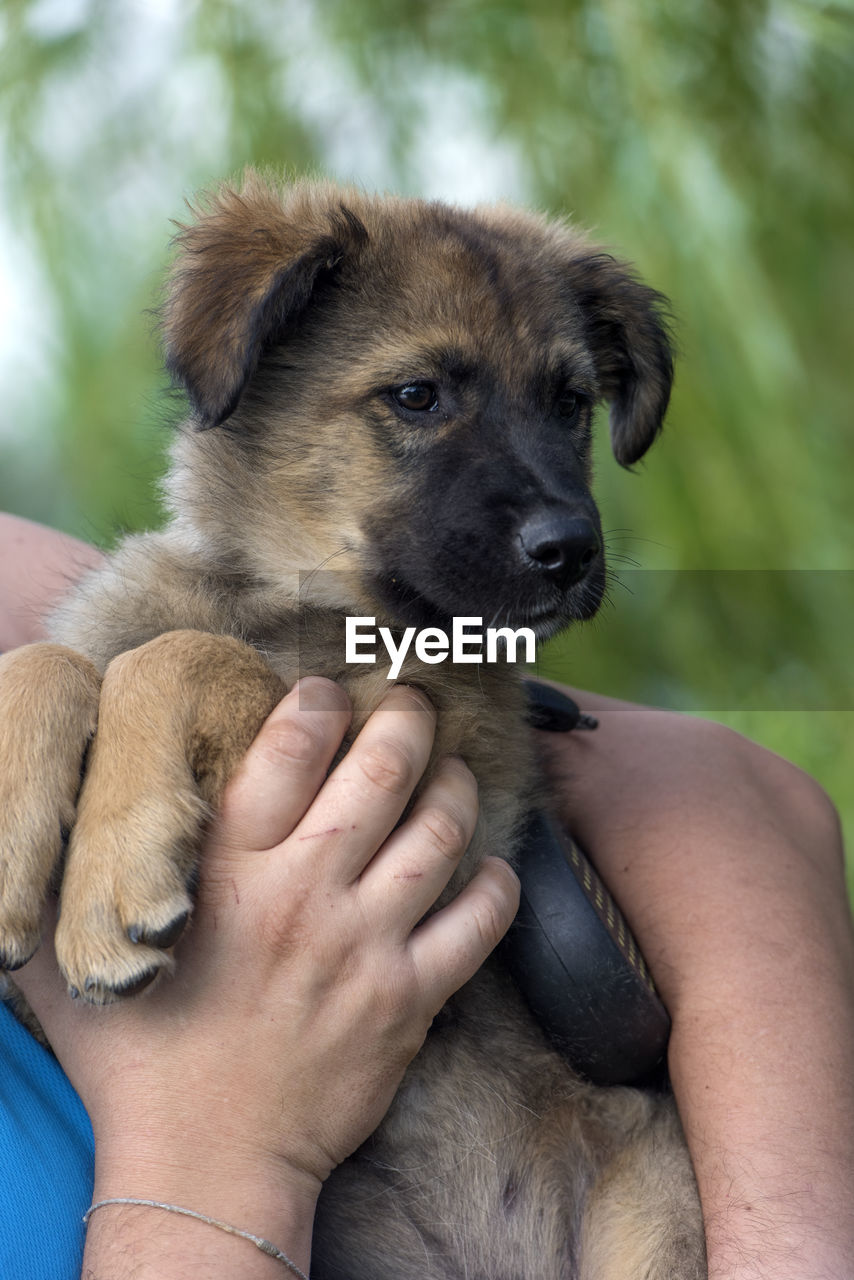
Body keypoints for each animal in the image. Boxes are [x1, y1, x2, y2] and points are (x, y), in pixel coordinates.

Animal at [0, 177, 706, 1280]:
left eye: (569, 404)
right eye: (415, 396)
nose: (571, 550)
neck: (285, 598)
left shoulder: (444, 790)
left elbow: (187, 658)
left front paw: (111, 878)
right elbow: (51, 660)